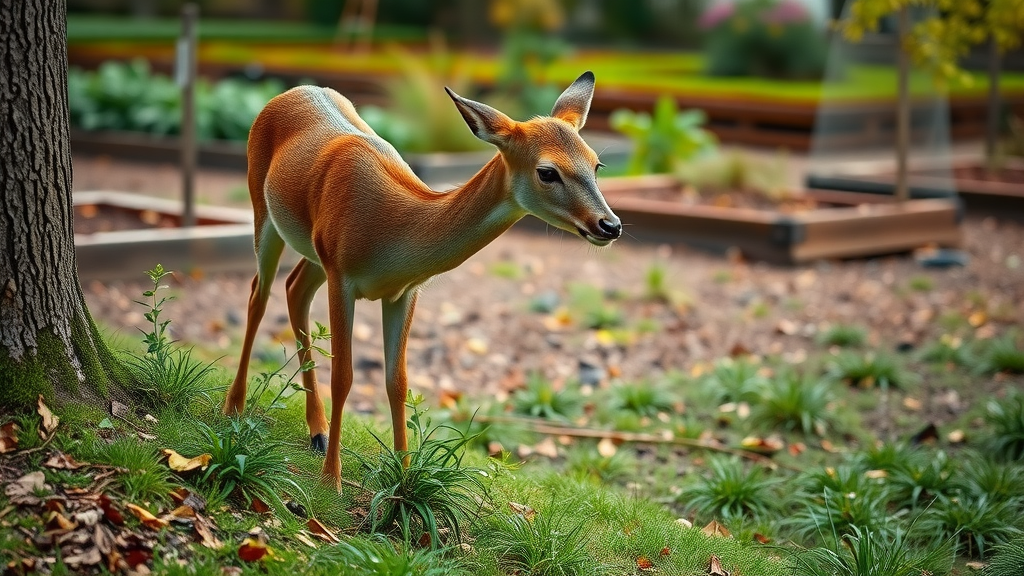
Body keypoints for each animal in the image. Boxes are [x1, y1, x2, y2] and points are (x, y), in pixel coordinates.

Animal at [222, 71, 622, 489]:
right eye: (547, 171)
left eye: (597, 164)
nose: (610, 225)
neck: (394, 227)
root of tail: (290, 92)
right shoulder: (342, 277)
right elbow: (345, 376)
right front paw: (331, 481)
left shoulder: (403, 292)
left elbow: (397, 381)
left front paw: (403, 477)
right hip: (264, 210)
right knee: (258, 295)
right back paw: (234, 408)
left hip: (314, 252)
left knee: (293, 290)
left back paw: (318, 432)